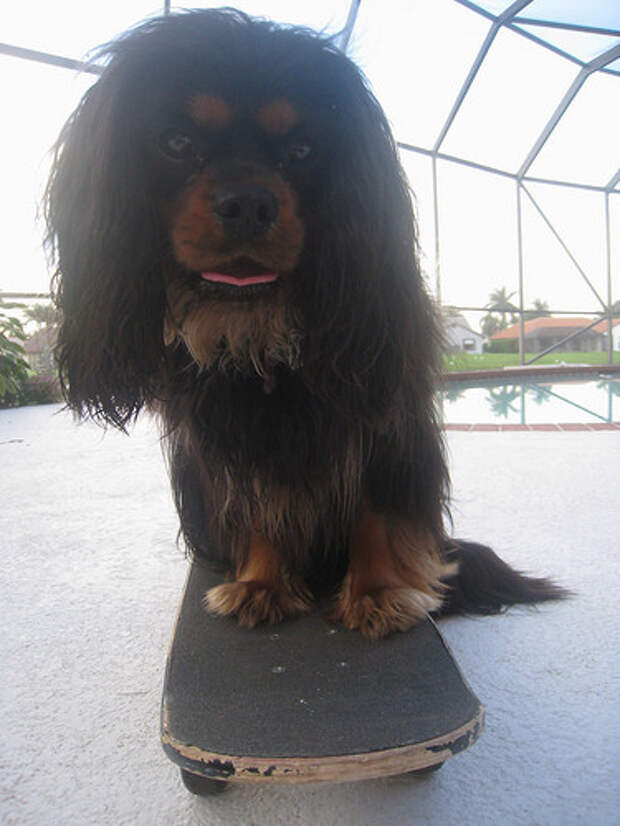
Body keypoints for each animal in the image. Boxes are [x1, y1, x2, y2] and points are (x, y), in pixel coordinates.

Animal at [45, 9, 566, 639]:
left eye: (301, 150)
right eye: (176, 142)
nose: (248, 204)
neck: (260, 331)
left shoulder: (382, 422)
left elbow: (374, 511)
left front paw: (377, 591)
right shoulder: (239, 442)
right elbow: (260, 507)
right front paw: (262, 583)